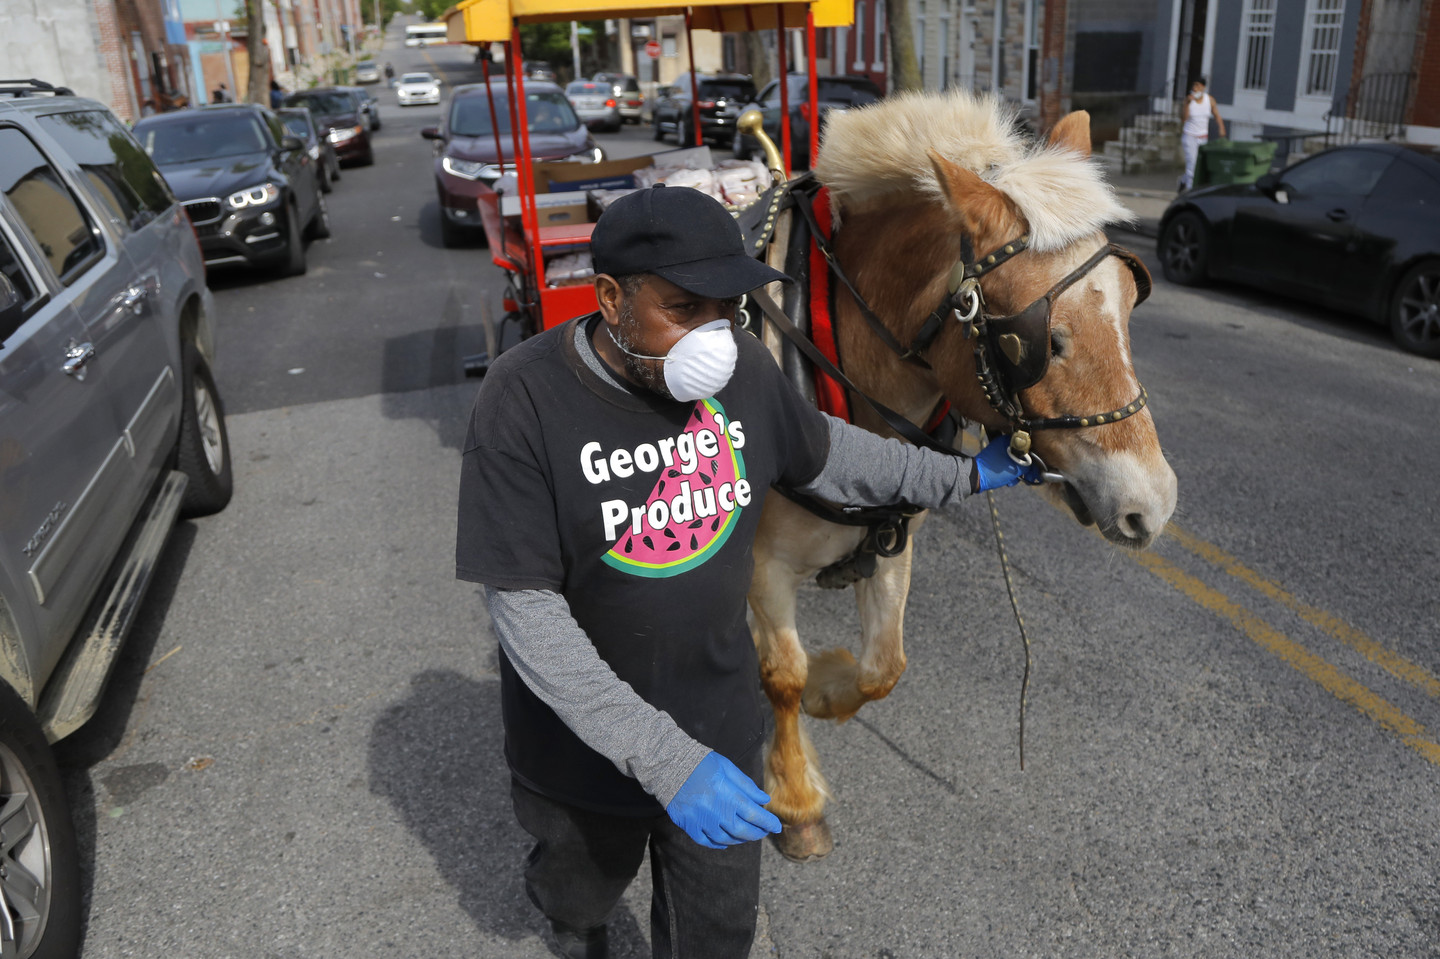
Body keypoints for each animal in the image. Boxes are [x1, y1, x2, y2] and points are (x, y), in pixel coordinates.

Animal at [747, 90, 1179, 862]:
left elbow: (882, 667)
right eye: (1041, 341)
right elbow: (782, 676)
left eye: (1131, 304)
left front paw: (831, 685)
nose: (1151, 504)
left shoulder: (892, 539)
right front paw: (796, 799)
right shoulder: (764, 562)